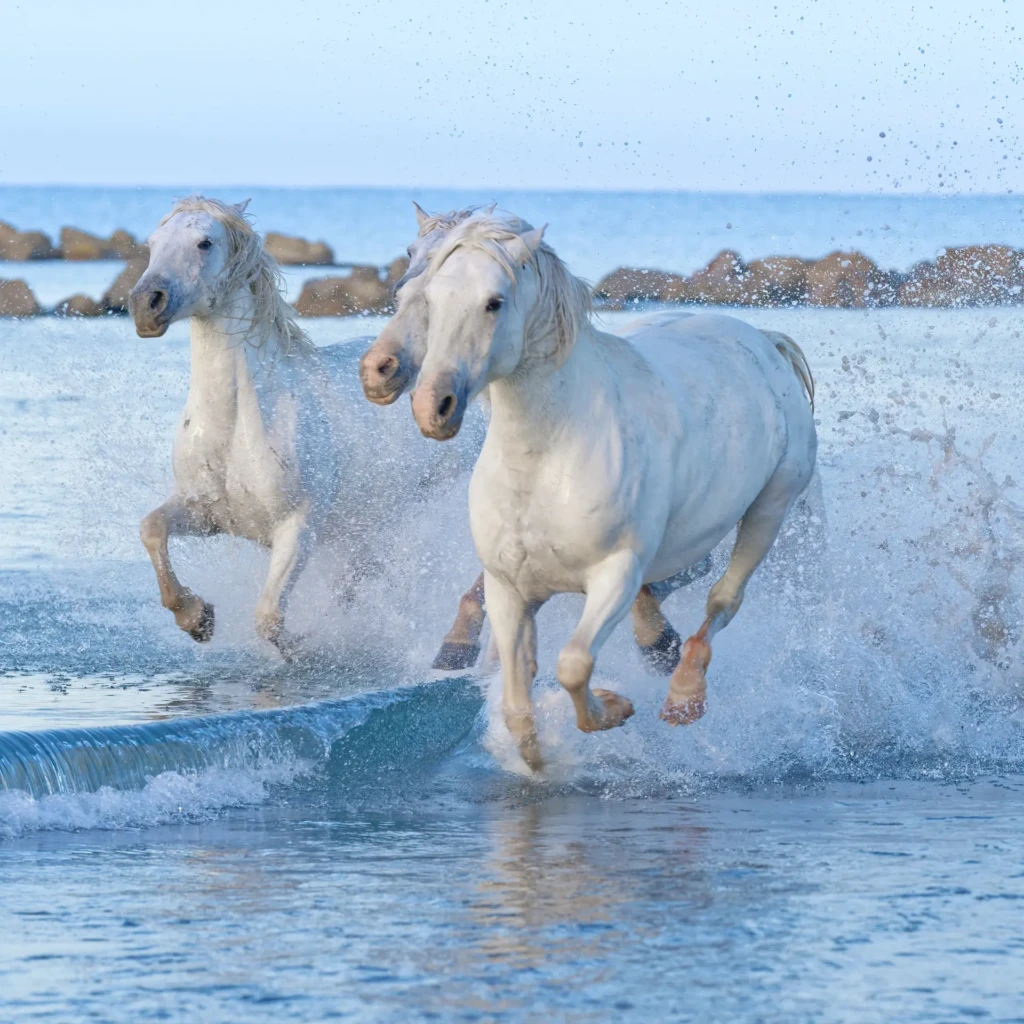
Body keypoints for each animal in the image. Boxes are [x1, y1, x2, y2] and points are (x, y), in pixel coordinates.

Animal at [129, 195, 476, 657]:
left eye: (204, 242)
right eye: (152, 243)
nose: (145, 303)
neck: (238, 423)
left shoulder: (297, 529)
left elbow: (269, 618)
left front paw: (305, 643)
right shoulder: (204, 511)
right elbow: (152, 529)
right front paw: (196, 617)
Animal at [409, 214, 817, 771]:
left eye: (494, 302)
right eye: (430, 298)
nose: (435, 407)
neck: (546, 460)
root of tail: (766, 342)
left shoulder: (615, 574)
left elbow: (573, 665)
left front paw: (616, 709)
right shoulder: (509, 590)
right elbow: (518, 709)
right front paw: (540, 766)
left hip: (770, 507)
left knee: (723, 599)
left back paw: (684, 696)